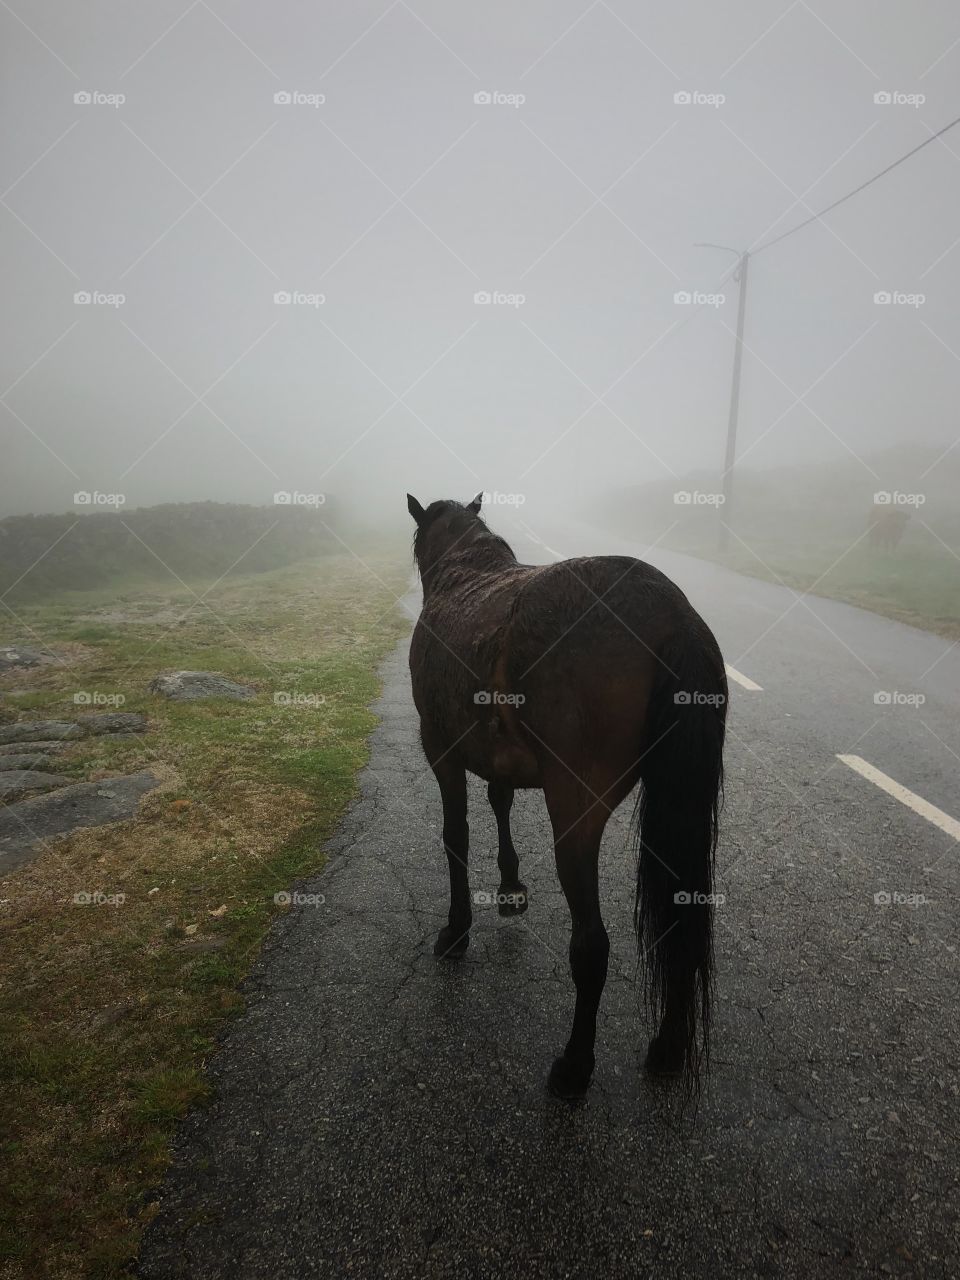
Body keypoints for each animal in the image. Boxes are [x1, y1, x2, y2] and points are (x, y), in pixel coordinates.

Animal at [406, 493, 727, 1099]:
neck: (466, 572)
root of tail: (673, 613)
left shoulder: (441, 749)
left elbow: (455, 835)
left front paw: (457, 929)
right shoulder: (497, 755)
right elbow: (500, 801)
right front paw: (510, 886)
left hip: (576, 815)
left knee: (592, 945)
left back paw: (575, 1065)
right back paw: (669, 1045)